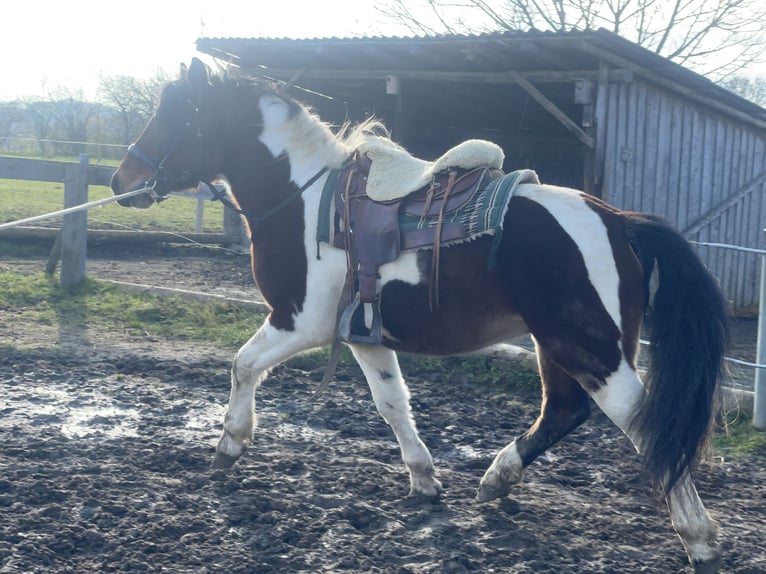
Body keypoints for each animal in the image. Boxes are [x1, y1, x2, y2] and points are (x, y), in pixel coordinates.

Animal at [108, 59, 728, 574]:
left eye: (172, 114)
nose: (121, 181)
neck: (305, 201)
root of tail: (618, 219)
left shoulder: (298, 321)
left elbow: (242, 365)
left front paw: (230, 445)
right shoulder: (363, 335)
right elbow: (392, 403)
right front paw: (425, 480)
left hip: (589, 349)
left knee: (642, 423)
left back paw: (697, 538)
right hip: (561, 346)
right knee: (563, 411)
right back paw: (497, 479)